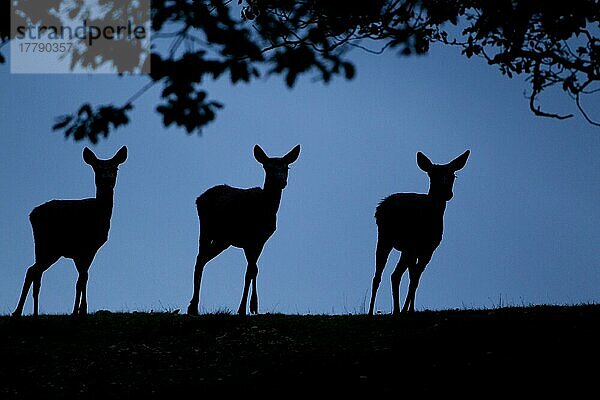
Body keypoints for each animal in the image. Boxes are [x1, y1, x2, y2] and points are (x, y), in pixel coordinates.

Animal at [12, 145, 128, 318]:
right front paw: (77, 311)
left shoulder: (86, 251)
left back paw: (30, 313)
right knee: (34, 271)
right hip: (48, 246)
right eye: (97, 168)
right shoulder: (84, 248)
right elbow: (81, 279)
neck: (99, 214)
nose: (107, 178)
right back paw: (20, 311)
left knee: (34, 271)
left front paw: (82, 310)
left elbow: (83, 278)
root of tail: (32, 214)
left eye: (115, 168)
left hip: (46, 249)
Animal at [188, 144, 300, 316]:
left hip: (223, 240)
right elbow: (250, 271)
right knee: (199, 259)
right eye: (267, 167)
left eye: (286, 167)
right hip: (205, 228)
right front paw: (242, 309)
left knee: (204, 258)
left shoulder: (260, 240)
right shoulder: (248, 240)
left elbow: (254, 270)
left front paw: (253, 306)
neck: (264, 210)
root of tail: (198, 198)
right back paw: (193, 307)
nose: (281, 180)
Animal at [368, 148, 472, 314]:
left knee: (395, 275)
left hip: (403, 249)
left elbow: (415, 280)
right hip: (385, 238)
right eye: (432, 175)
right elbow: (412, 278)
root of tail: (380, 206)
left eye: (453, 176)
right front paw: (406, 310)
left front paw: (410, 310)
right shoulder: (413, 247)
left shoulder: (428, 250)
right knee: (378, 276)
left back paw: (397, 310)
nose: (447, 194)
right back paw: (371, 311)